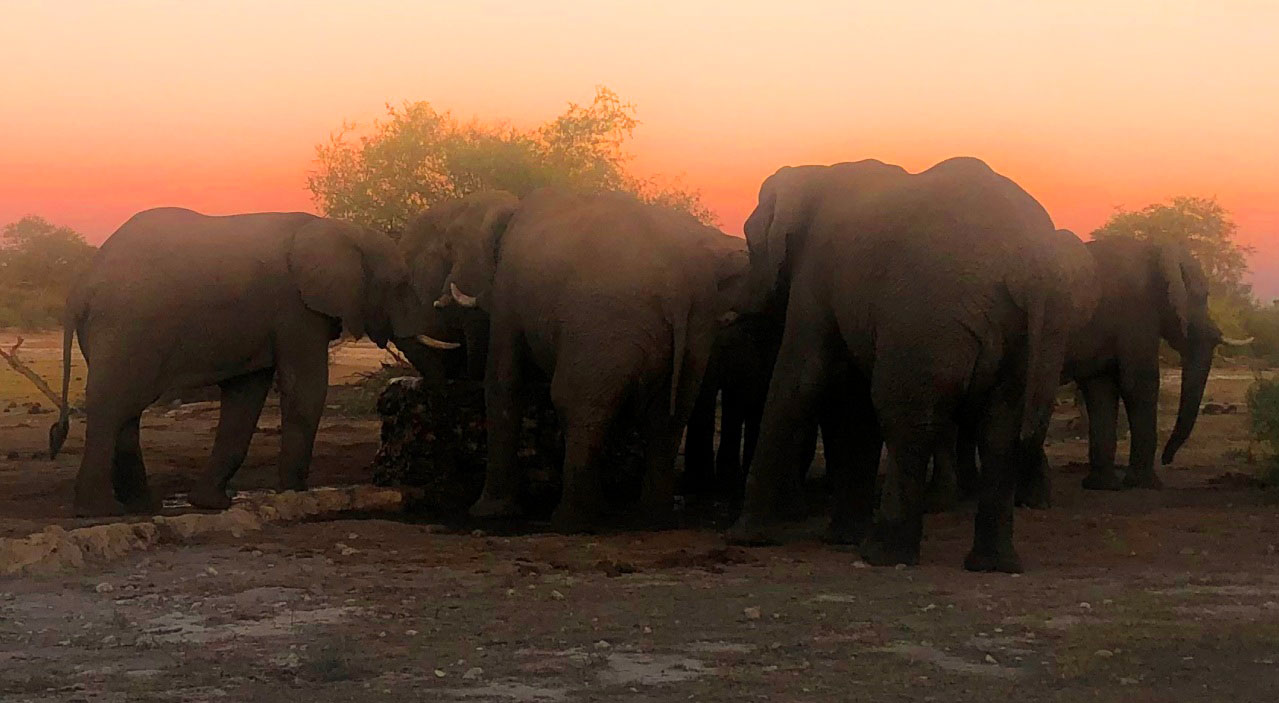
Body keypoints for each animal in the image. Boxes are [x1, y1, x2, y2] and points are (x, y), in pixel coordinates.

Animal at [48, 208, 434, 518]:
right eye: (400, 283)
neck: (342, 228)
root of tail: (79, 287)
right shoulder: (295, 309)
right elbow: (305, 388)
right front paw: (296, 496)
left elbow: (246, 396)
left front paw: (212, 504)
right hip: (126, 326)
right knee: (113, 406)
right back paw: (100, 511)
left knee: (126, 409)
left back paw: (143, 507)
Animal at [429, 190, 746, 531]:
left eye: (450, 246)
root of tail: (677, 288)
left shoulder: (507, 294)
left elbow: (503, 381)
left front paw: (488, 513)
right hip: (696, 330)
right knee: (667, 417)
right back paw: (650, 518)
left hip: (605, 323)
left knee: (576, 402)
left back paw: (569, 521)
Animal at [726, 155, 1094, 572]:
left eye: (750, 241)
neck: (814, 172)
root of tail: (1031, 268)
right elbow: (854, 400)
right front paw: (840, 539)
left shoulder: (815, 272)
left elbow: (801, 380)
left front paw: (746, 538)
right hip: (1034, 330)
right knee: (1001, 429)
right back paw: (992, 564)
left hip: (928, 314)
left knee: (907, 418)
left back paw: (882, 555)